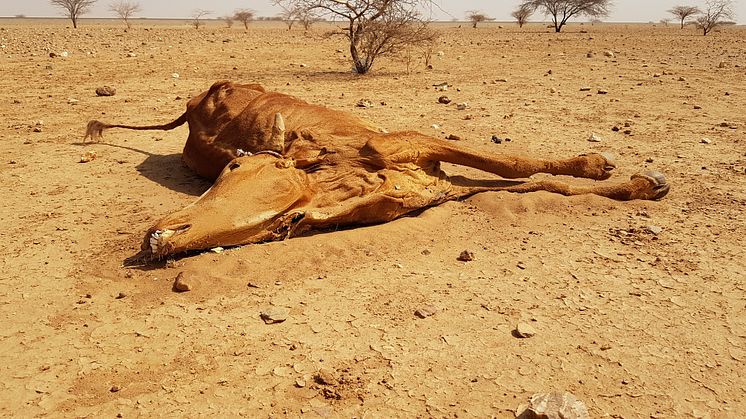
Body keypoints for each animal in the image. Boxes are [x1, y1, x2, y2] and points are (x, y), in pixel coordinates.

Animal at [85, 80, 668, 258]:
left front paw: (631, 179)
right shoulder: (426, 169)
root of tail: (192, 105)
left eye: (235, 168)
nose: (156, 235)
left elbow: (519, 169)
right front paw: (629, 178)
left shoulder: (419, 154)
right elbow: (518, 172)